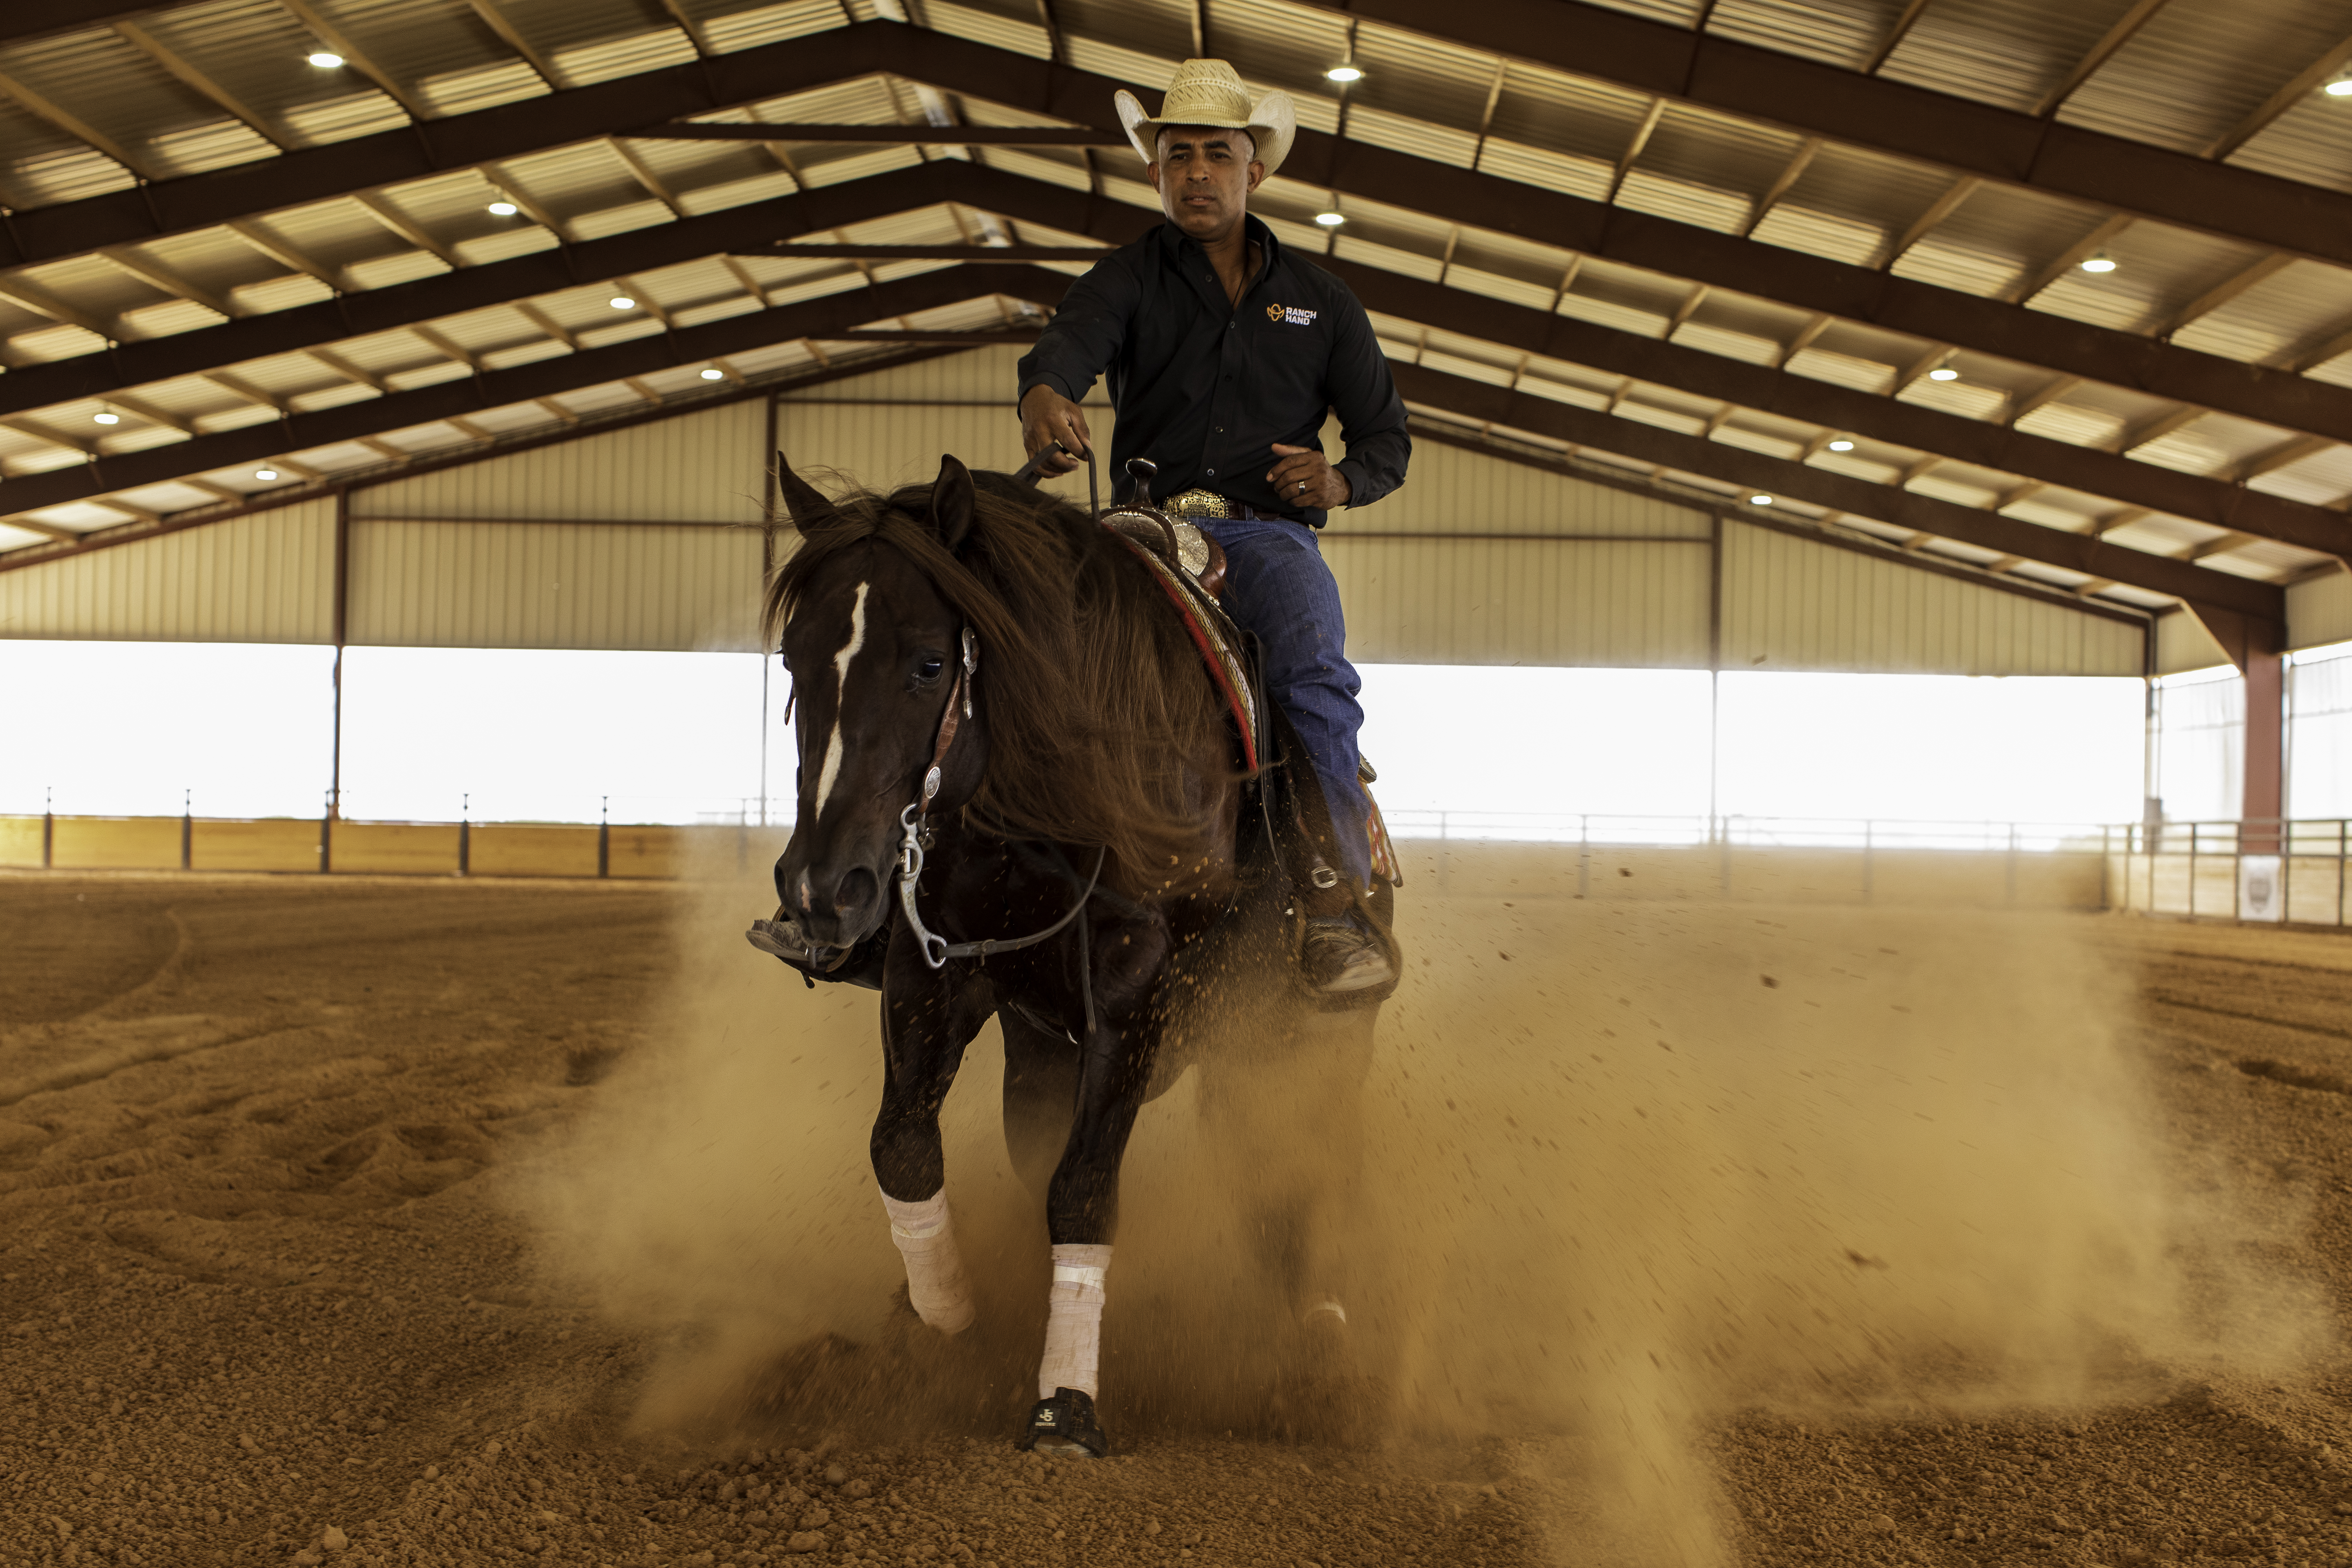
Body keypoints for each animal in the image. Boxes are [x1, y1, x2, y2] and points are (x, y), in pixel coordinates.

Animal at [752, 454, 1383, 1457]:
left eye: (931, 663)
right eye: (794, 660)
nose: (824, 887)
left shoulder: (1135, 983)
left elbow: (1084, 1189)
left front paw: (1065, 1403)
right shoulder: (936, 970)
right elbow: (903, 1148)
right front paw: (942, 1319)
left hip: (1303, 1037)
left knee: (1294, 1161)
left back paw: (1319, 1337)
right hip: (1049, 1051)